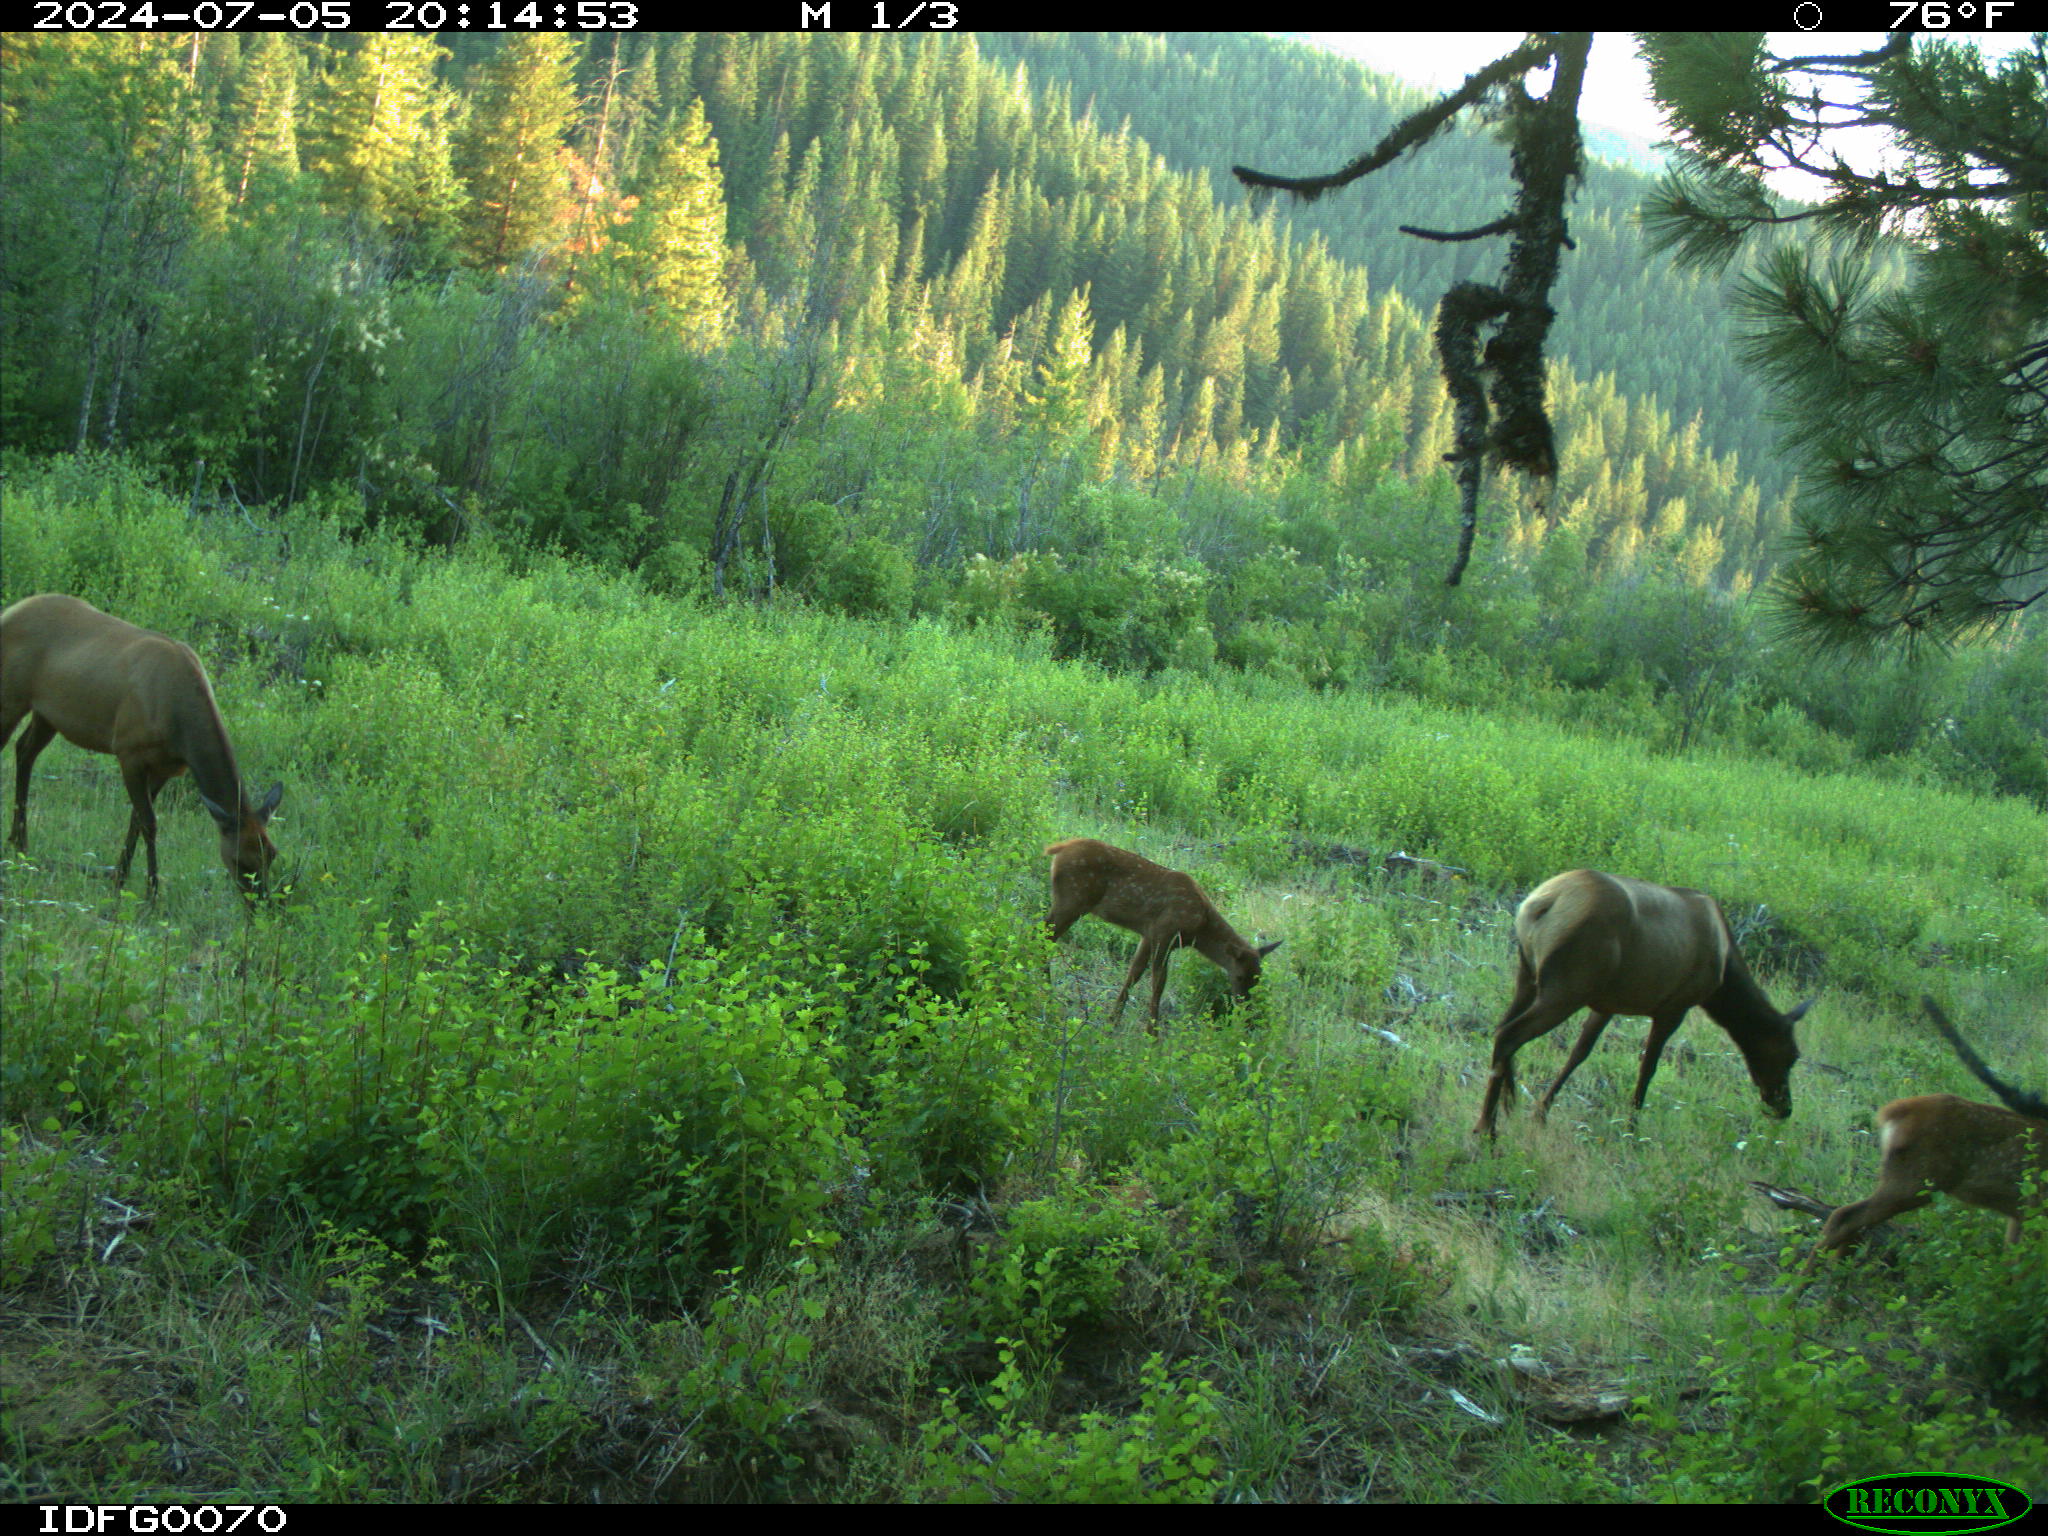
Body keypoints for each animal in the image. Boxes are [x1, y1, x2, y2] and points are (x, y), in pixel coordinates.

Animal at [2, 593, 283, 899]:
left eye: (272, 854)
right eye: (239, 860)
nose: (262, 902)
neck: (179, 729)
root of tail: (10, 611)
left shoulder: (164, 767)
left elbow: (136, 819)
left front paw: (120, 878)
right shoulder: (129, 751)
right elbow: (149, 823)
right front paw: (150, 893)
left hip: (47, 714)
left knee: (24, 751)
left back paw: (20, 845)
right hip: (12, 694)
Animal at [1043, 838, 1280, 1031]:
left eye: (1258, 977)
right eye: (1239, 976)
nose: (1245, 1008)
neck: (1198, 929)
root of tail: (1059, 849)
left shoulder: (1148, 935)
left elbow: (1134, 974)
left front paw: (1113, 1020)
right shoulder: (1165, 933)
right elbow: (1158, 984)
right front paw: (1153, 1035)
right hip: (1074, 898)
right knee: (1045, 935)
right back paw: (1047, 991)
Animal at [1474, 869, 1812, 1137]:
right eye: (1791, 1055)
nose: (1784, 1108)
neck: (1722, 978)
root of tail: (1540, 904)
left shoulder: (1605, 1004)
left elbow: (1579, 1053)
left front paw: (1542, 1111)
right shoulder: (1673, 1007)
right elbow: (1648, 1067)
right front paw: (1632, 1127)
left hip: (1528, 974)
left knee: (1501, 1027)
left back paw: (1509, 1101)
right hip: (1567, 987)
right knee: (1509, 1035)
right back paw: (1487, 1128)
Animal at [1808, 998, 2047, 1266]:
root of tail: (1893, 1112)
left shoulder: (2023, 1211)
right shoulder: (2036, 1205)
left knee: (1854, 1224)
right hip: (1916, 1177)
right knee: (1844, 1216)